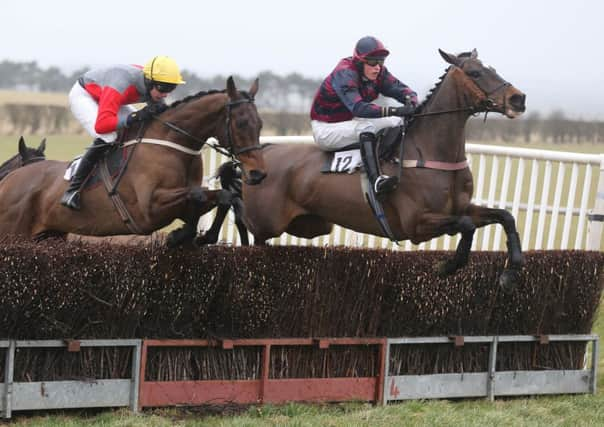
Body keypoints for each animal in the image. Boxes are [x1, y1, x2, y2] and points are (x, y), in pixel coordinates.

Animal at [0, 77, 266, 247]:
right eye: (241, 123)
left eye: (260, 124)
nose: (258, 174)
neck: (171, 143)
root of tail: (9, 181)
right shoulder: (148, 210)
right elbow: (200, 194)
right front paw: (180, 236)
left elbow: (222, 197)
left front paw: (197, 237)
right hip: (14, 234)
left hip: (49, 235)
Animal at [238, 49, 528, 290]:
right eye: (475, 73)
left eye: (493, 68)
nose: (518, 98)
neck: (429, 151)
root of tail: (264, 153)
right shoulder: (417, 224)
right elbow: (466, 225)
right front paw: (448, 265)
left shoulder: (460, 208)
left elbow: (505, 217)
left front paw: (511, 271)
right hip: (265, 225)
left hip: (311, 225)